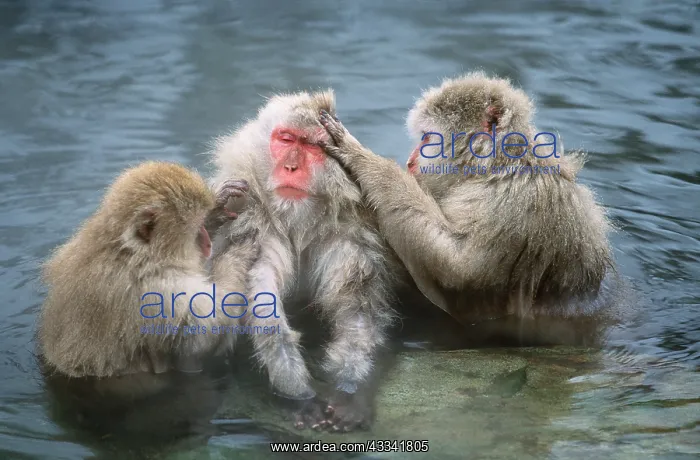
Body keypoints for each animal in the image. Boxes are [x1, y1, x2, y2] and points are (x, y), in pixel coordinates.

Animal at [37, 161, 255, 379]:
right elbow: (203, 340)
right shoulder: (161, 292)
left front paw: (217, 208)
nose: (207, 244)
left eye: (201, 225)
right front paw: (236, 255)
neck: (130, 254)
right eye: (196, 230)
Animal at [208, 90, 399, 432]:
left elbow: (357, 313)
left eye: (311, 145)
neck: (298, 222)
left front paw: (350, 391)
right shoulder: (255, 228)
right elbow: (264, 310)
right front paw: (298, 396)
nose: (291, 167)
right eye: (286, 139)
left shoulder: (350, 232)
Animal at [318, 72, 621, 346]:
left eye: (427, 138)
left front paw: (365, 160)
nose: (410, 161)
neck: (496, 166)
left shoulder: (512, 202)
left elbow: (457, 272)